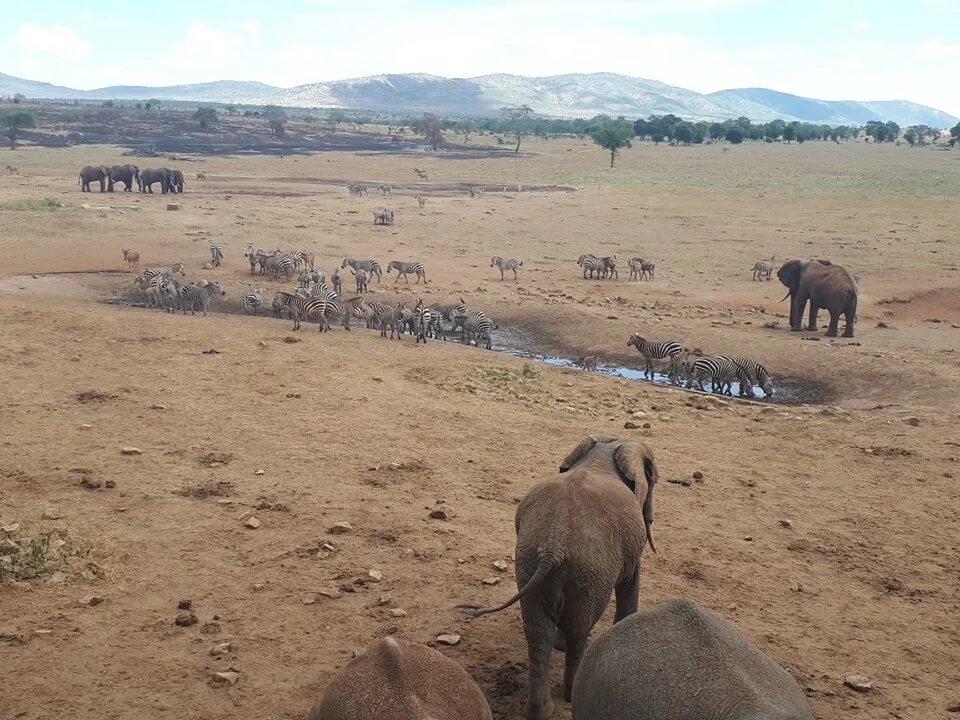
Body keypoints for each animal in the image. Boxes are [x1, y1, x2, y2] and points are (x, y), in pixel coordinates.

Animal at [460, 436, 660, 716]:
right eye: (653, 479)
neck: (605, 450)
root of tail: (554, 544)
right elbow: (631, 579)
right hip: (591, 572)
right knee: (579, 626)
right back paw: (570, 694)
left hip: (529, 560)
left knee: (538, 629)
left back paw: (539, 710)